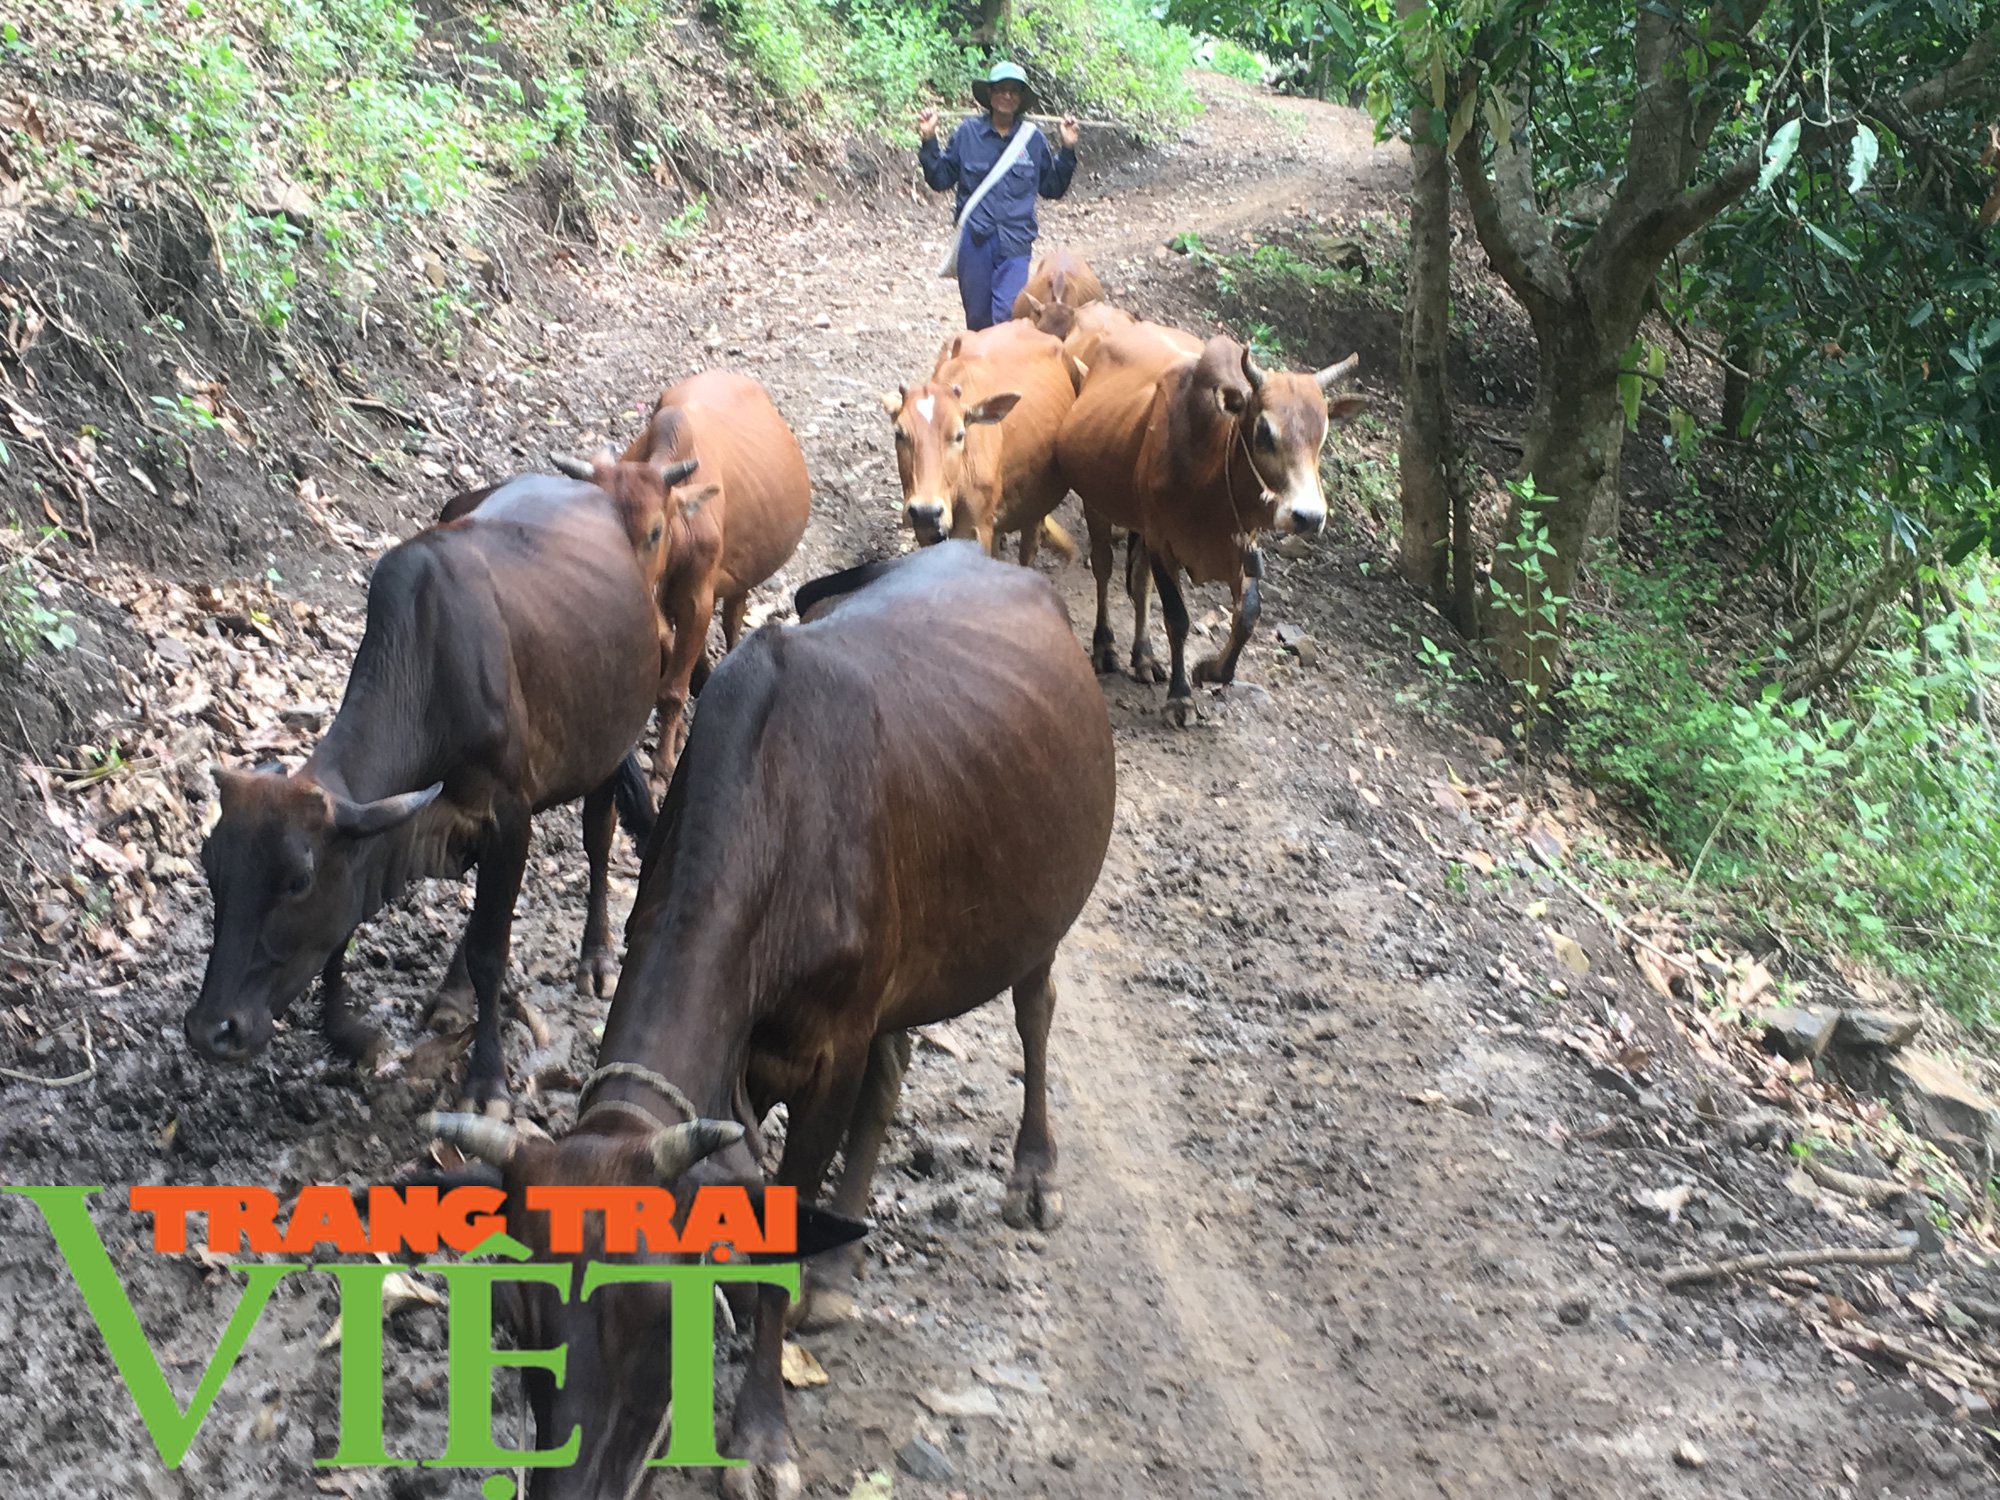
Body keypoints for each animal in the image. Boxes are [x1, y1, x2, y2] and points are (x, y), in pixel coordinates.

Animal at [188, 476, 688, 1112]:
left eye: (297, 881)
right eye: (212, 866)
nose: (211, 1030)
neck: (429, 677)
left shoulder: (510, 816)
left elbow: (491, 950)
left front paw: (486, 1080)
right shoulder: (384, 831)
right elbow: (347, 929)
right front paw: (349, 1033)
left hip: (607, 741)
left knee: (598, 842)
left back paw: (595, 957)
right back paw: (452, 997)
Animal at [424, 544, 1120, 1500]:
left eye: (658, 1312)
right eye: (517, 1310)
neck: (773, 820)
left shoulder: (832, 1050)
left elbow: (780, 1234)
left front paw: (761, 1434)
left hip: (1037, 920)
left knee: (1034, 1014)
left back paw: (1033, 1172)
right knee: (895, 1068)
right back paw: (837, 1269)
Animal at [620, 374, 816, 776]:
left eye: (655, 531)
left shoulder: (697, 596)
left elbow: (671, 691)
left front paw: (663, 766)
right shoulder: (657, 597)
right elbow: (667, 650)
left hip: (743, 572)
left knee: (733, 617)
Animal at [884, 318, 1080, 564]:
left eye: (960, 434)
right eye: (899, 433)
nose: (926, 512)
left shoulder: (975, 528)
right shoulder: (926, 531)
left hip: (1036, 505)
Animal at [1056, 324, 1368, 728]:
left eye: (1323, 435)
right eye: (1264, 430)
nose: (1309, 516)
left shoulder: (1241, 547)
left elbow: (1248, 616)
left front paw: (1207, 670)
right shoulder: (1163, 543)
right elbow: (1177, 618)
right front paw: (1180, 698)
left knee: (1139, 581)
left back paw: (1144, 657)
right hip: (1097, 505)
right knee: (1104, 569)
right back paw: (1105, 646)